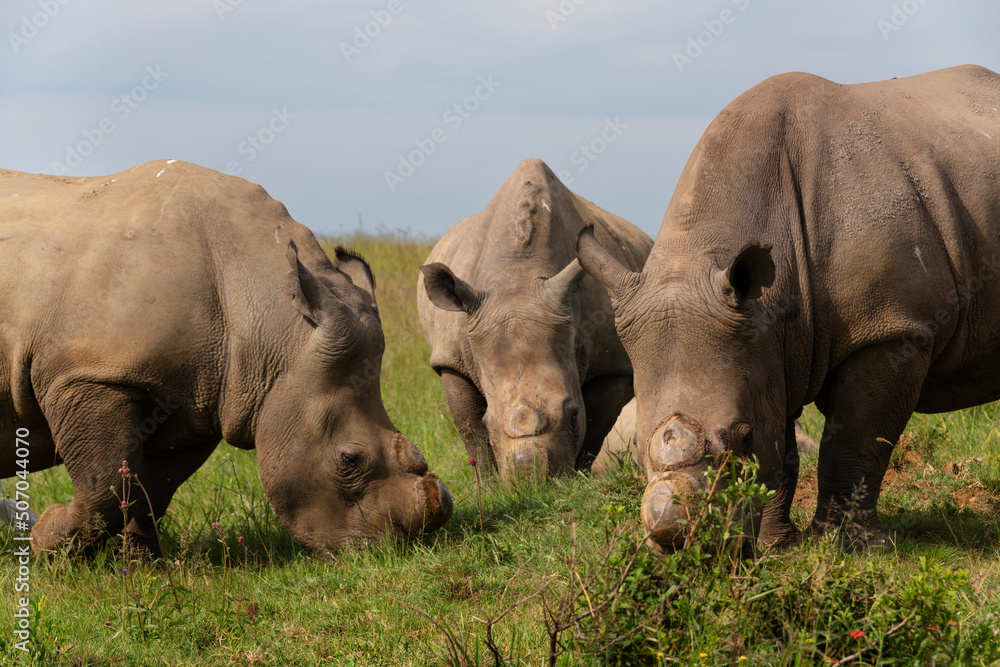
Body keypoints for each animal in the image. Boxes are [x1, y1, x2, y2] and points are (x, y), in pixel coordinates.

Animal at [0, 160, 452, 555]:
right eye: (349, 459)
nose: (386, 549)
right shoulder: (88, 374)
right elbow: (104, 482)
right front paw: (45, 542)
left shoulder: (193, 398)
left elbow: (153, 490)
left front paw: (143, 565)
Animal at [418, 159, 652, 481]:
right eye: (490, 422)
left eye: (573, 415)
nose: (530, 476)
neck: (519, 274)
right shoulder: (451, 358)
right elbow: (470, 430)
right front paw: (489, 486)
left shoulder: (612, 362)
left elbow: (596, 424)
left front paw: (577, 477)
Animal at [577, 65, 1000, 552]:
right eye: (637, 442)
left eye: (742, 438)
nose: (674, 535)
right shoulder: (766, 338)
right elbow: (780, 446)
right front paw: (773, 545)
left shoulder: (893, 326)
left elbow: (854, 438)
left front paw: (848, 547)